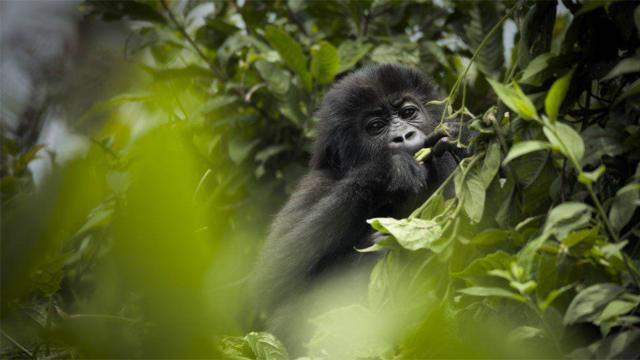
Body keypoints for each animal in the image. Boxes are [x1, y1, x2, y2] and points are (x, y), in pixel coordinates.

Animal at [252, 63, 462, 352]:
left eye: (408, 113)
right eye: (376, 126)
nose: (403, 136)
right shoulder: (317, 183)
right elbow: (269, 277)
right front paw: (389, 169)